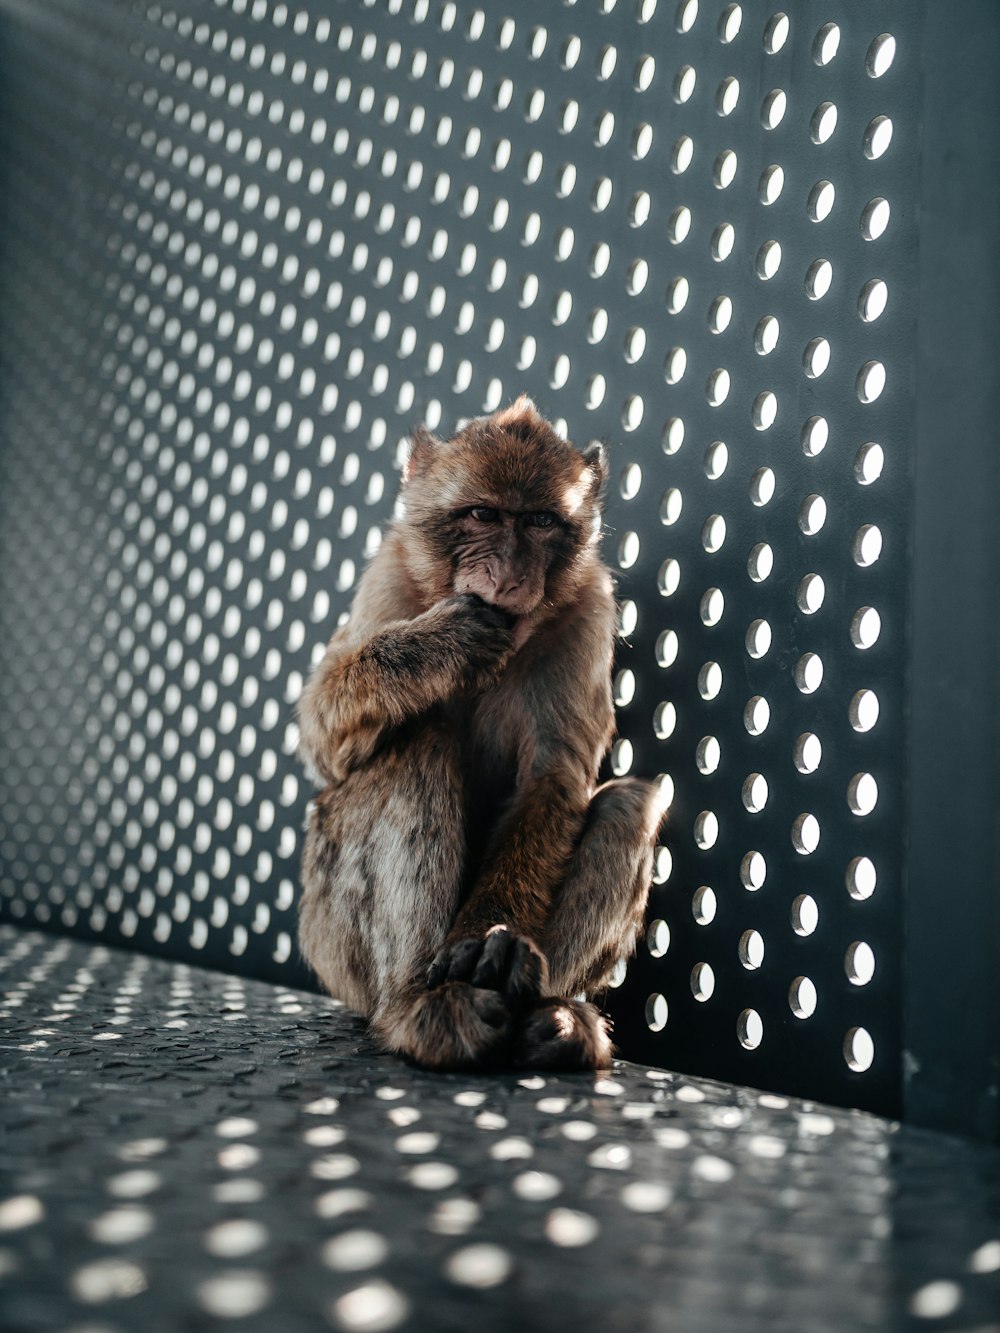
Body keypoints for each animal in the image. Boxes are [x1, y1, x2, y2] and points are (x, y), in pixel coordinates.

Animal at [301, 397, 669, 1071]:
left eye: (541, 522)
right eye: (482, 515)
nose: (510, 573)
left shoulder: (588, 612)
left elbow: (552, 781)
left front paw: (492, 939)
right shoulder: (388, 576)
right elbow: (321, 743)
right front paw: (439, 645)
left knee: (628, 804)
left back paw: (547, 1013)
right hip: (331, 944)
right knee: (416, 749)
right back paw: (421, 1004)